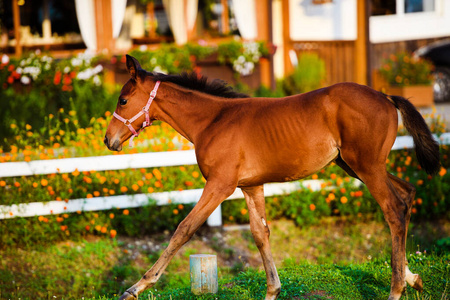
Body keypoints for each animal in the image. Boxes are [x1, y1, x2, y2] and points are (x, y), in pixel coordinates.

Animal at [104, 55, 440, 300]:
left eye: (123, 100)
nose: (109, 140)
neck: (213, 121)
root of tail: (385, 96)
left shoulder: (220, 185)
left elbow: (184, 229)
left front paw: (136, 287)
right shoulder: (250, 186)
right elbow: (260, 234)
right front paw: (273, 290)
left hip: (366, 166)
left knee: (393, 209)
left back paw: (396, 289)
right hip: (356, 165)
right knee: (407, 195)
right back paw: (412, 278)